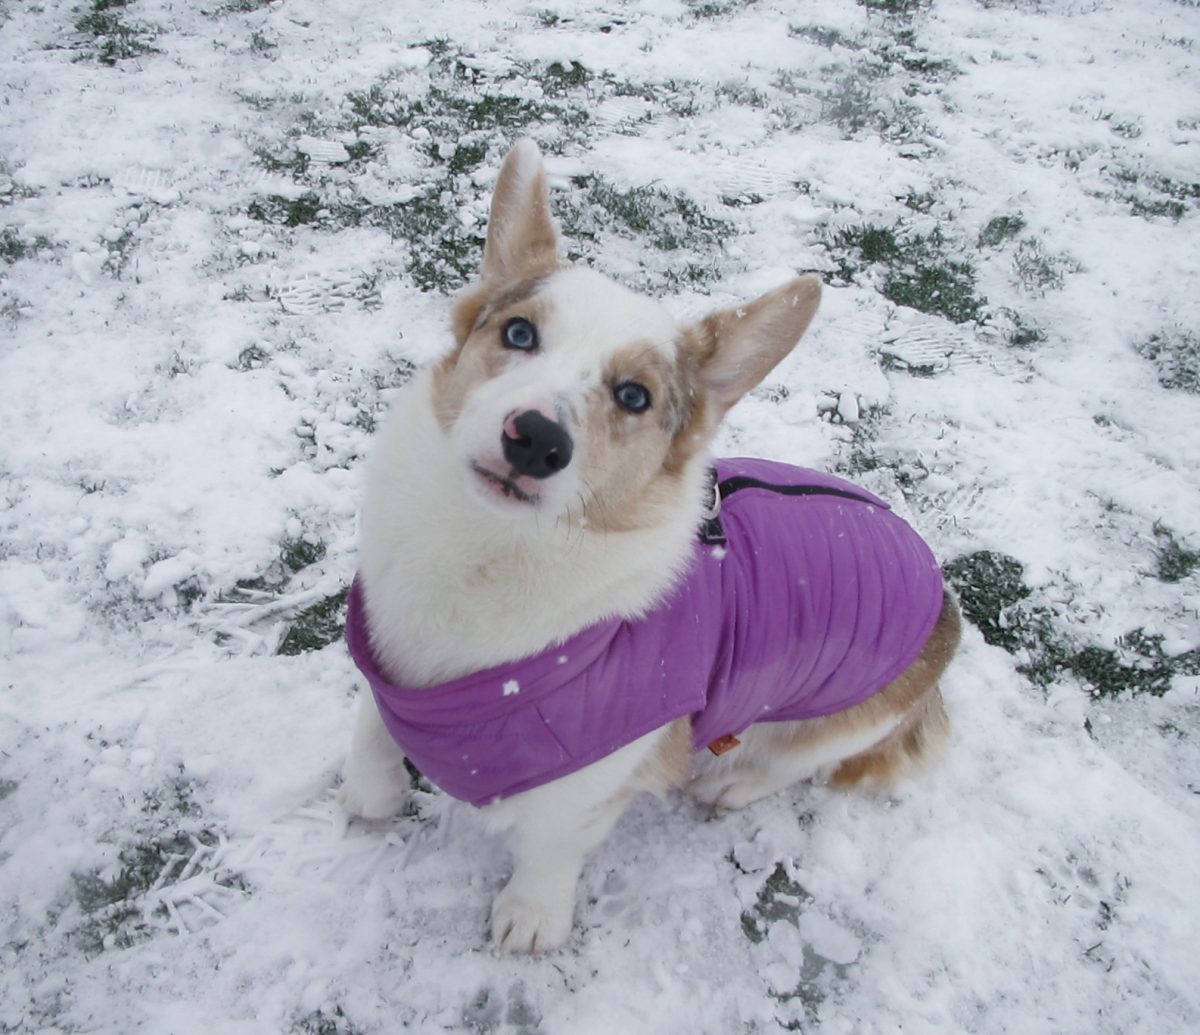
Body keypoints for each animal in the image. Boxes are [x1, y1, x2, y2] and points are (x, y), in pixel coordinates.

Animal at [336, 138, 955, 955]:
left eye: (633, 396)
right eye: (519, 333)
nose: (537, 440)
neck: (491, 549)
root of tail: (946, 606)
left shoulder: (591, 782)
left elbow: (550, 848)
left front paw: (531, 917)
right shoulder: (385, 652)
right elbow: (373, 722)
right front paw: (368, 792)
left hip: (844, 716)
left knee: (799, 761)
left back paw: (731, 782)